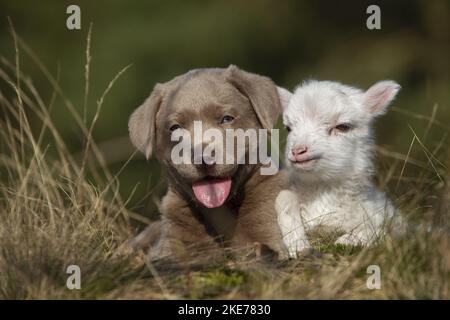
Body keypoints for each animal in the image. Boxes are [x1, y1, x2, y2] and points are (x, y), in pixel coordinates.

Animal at [274, 79, 404, 258]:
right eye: (288, 128)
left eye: (343, 126)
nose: (297, 151)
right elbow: (284, 199)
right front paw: (298, 246)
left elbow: (376, 232)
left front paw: (347, 241)